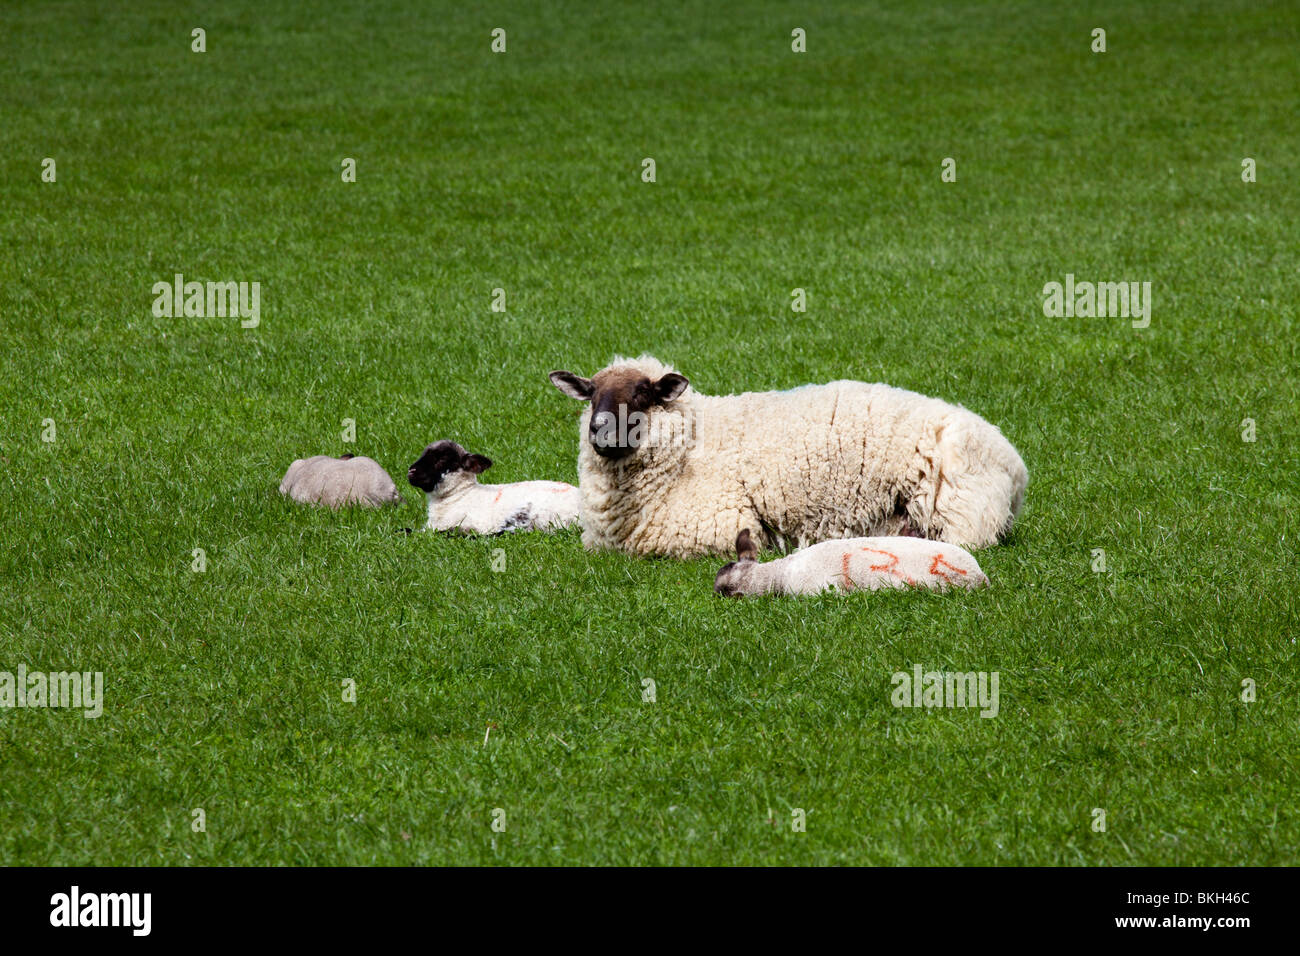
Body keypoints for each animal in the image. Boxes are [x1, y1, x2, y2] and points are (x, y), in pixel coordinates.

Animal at [548, 354, 1027, 558]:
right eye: (591, 394)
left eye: (643, 394)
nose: (599, 432)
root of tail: (1014, 464)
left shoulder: (720, 525)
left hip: (960, 515)